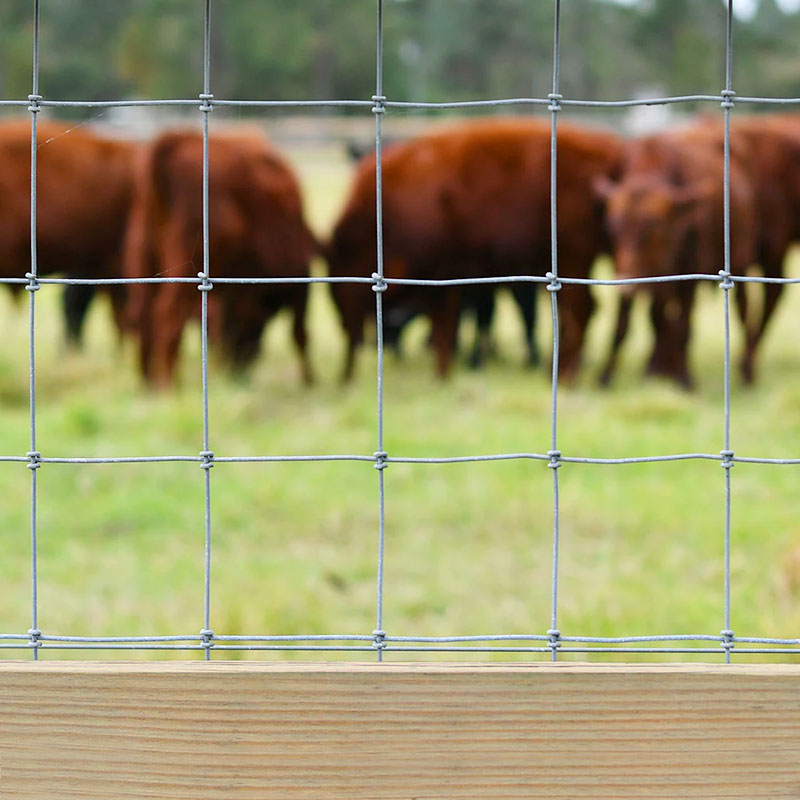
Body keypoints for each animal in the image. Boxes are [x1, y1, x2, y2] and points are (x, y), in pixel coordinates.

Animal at [122, 131, 316, 388]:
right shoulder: (300, 278)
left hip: (143, 252)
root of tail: (176, 139)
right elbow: (300, 333)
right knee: (168, 314)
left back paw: (148, 381)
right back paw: (169, 385)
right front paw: (310, 380)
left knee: (143, 312)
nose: (240, 368)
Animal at [326, 117, 624, 382]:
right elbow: (455, 323)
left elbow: (448, 324)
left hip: (575, 255)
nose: (357, 338)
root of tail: (607, 153)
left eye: (340, 292)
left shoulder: (444, 276)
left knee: (581, 308)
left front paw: (445, 373)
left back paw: (565, 376)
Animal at [592, 119, 756, 390]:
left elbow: (683, 328)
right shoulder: (629, 271)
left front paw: (685, 378)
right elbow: (625, 325)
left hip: (739, 259)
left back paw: (747, 370)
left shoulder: (689, 276)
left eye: (654, 225)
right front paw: (606, 376)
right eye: (611, 226)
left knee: (743, 310)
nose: (626, 283)